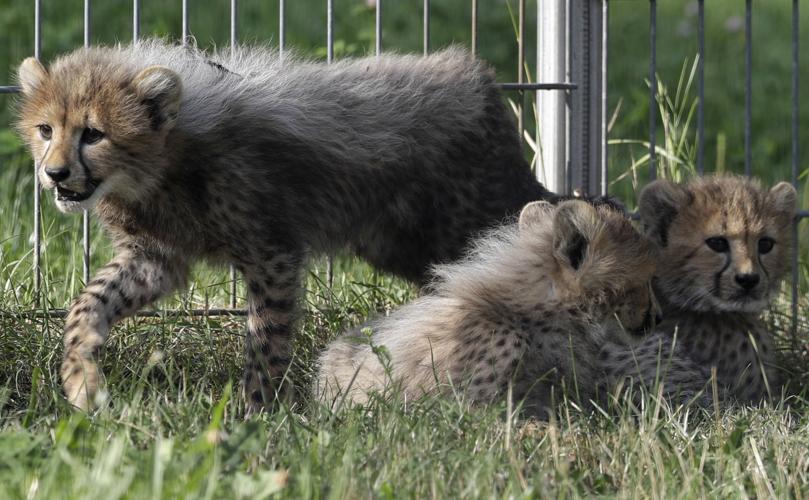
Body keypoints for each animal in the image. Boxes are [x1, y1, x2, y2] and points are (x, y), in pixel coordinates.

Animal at [14, 40, 558, 413]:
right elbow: (87, 304)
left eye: (94, 134)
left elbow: (266, 337)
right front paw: (81, 380)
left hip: (464, 221)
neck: (162, 165)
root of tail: (477, 75)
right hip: (404, 245)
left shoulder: (272, 254)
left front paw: (256, 414)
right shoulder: (155, 259)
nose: (54, 174)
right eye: (46, 130)